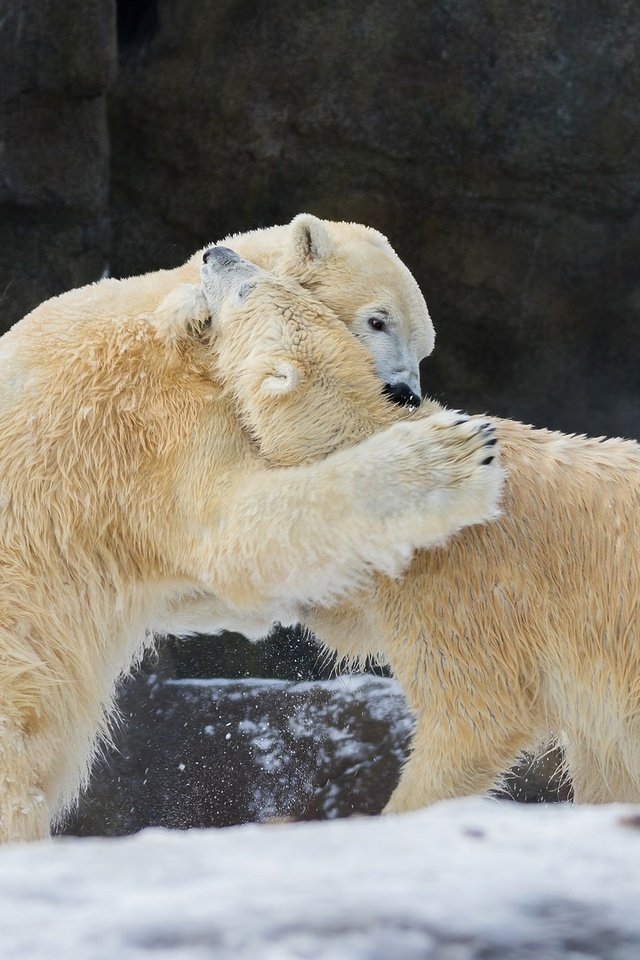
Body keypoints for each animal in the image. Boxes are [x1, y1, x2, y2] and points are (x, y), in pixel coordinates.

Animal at [0, 225, 498, 840]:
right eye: (378, 320)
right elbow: (234, 531)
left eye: (424, 346)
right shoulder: (155, 418)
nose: (404, 393)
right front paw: (449, 455)